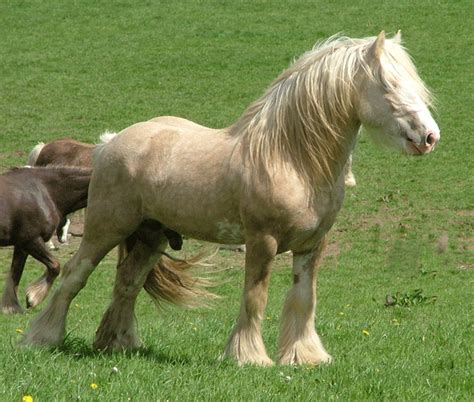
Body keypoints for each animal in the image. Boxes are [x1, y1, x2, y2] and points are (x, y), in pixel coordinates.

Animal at [0, 165, 91, 312]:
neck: (45, 191)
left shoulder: (21, 245)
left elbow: (16, 272)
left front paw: (11, 307)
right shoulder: (31, 240)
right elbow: (55, 265)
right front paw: (33, 298)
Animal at [25, 32, 440, 364]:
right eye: (388, 85)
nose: (430, 136)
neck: (290, 158)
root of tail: (109, 144)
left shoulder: (312, 246)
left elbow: (304, 299)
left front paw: (305, 358)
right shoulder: (262, 242)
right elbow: (255, 298)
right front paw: (249, 357)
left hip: (151, 237)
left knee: (127, 284)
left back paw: (119, 344)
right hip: (106, 229)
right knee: (75, 275)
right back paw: (42, 337)